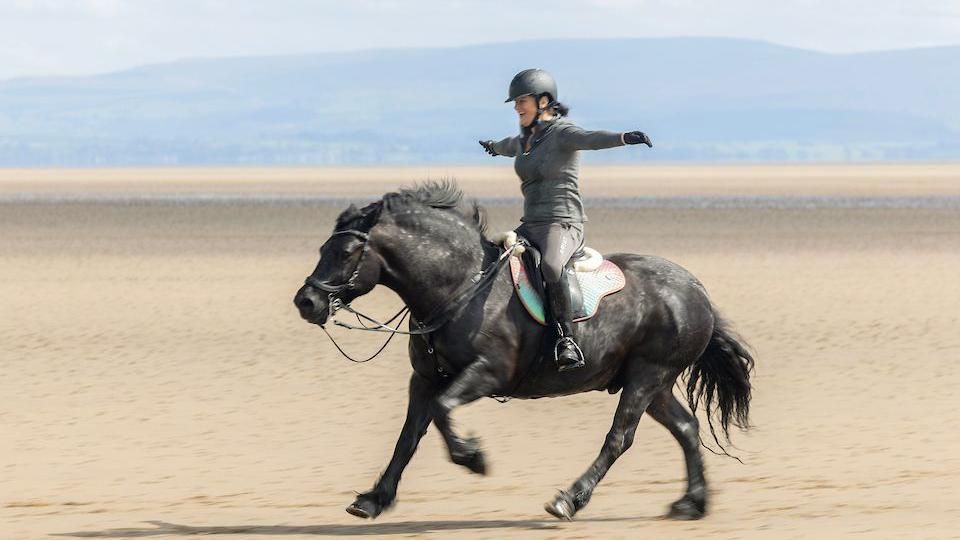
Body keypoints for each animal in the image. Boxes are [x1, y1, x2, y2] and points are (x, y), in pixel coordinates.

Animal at [288, 182, 752, 524]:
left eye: (346, 252)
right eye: (322, 249)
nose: (306, 302)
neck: (459, 286)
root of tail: (695, 290)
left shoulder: (485, 373)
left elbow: (441, 410)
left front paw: (473, 458)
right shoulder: (424, 379)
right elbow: (410, 435)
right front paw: (374, 499)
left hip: (646, 377)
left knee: (620, 438)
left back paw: (569, 499)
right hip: (653, 384)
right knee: (686, 428)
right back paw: (692, 503)